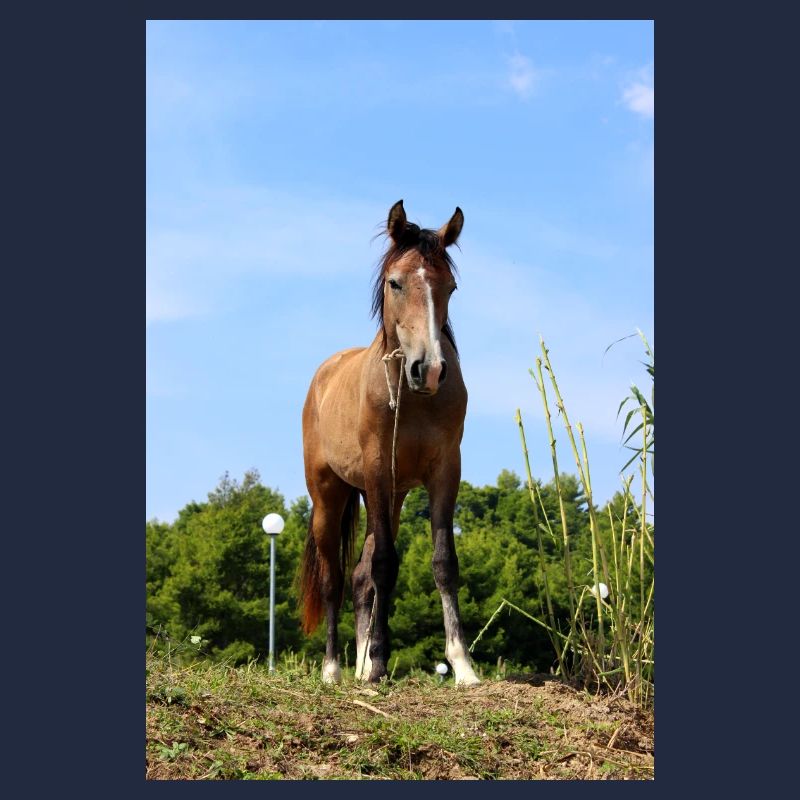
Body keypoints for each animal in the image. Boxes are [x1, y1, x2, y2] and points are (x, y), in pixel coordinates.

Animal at [299, 199, 480, 686]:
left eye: (450, 286)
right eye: (395, 282)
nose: (429, 369)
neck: (412, 398)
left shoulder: (444, 472)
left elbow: (442, 563)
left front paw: (462, 664)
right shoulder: (379, 472)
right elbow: (384, 564)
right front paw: (379, 662)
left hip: (390, 498)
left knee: (360, 578)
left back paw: (360, 664)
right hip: (330, 496)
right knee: (335, 579)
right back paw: (333, 669)